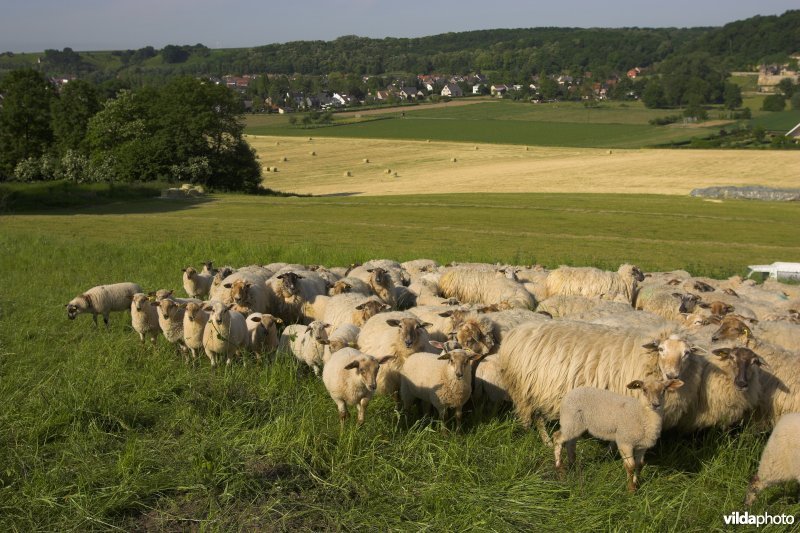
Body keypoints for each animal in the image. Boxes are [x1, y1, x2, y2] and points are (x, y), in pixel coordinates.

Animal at [500, 318, 700, 442]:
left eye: (686, 353)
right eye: (661, 349)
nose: (672, 375)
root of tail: (516, 331)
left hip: (537, 390)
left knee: (538, 416)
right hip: (523, 388)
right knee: (530, 417)